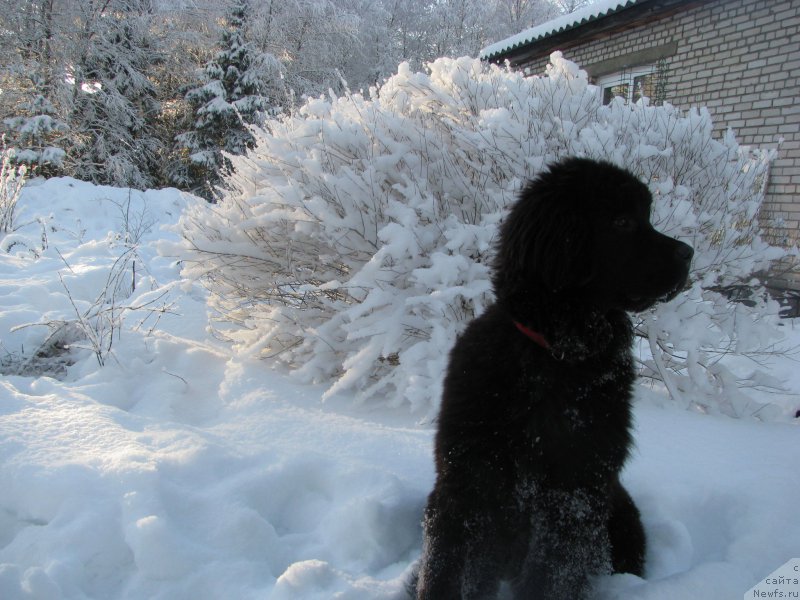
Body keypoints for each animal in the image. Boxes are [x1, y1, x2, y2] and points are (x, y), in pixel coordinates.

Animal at [412, 157, 692, 596]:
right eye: (622, 221)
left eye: (645, 216)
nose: (689, 253)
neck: (555, 355)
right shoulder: (465, 481)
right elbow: (444, 571)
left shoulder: (574, 491)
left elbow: (551, 575)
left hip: (621, 514)